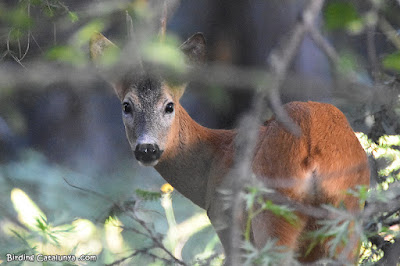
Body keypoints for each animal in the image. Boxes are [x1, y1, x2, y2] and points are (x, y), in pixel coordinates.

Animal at [90, 32, 368, 264]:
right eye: (127, 105)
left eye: (169, 105)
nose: (147, 148)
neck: (212, 161)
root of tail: (312, 150)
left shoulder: (225, 219)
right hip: (347, 214)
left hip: (272, 210)